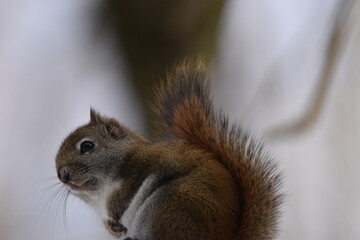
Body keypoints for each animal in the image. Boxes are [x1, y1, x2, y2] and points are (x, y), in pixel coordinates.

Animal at [54, 62, 282, 240]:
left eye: (87, 146)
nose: (62, 175)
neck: (101, 194)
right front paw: (112, 227)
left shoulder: (144, 165)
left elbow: (129, 191)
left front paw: (116, 207)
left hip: (164, 208)